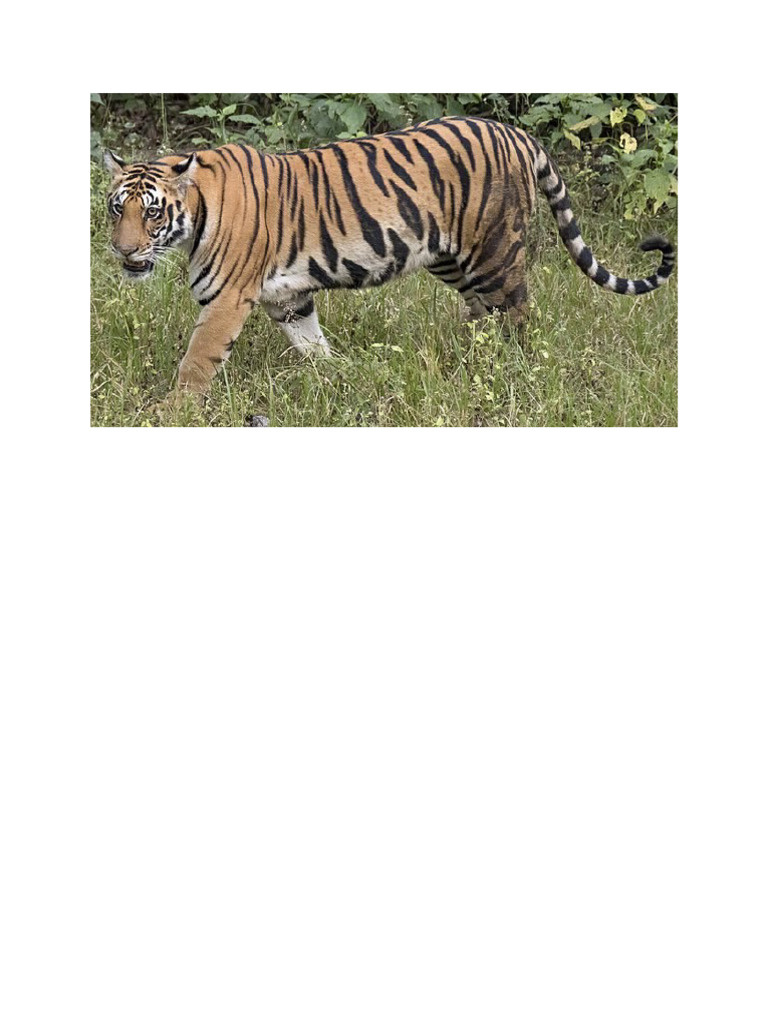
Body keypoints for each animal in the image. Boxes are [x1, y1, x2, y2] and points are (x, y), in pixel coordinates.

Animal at [103, 115, 675, 400]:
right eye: (116, 208)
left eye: (152, 212)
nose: (123, 250)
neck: (195, 215)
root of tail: (516, 132)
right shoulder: (288, 299)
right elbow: (312, 344)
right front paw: (337, 376)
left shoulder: (226, 301)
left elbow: (196, 363)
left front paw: (174, 413)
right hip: (451, 257)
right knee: (481, 314)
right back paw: (467, 359)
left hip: (494, 252)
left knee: (517, 316)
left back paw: (511, 371)